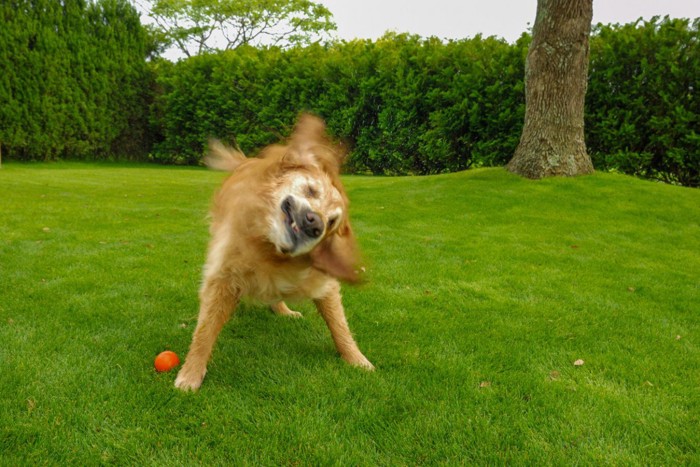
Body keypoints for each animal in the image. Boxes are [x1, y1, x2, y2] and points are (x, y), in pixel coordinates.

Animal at [174, 115, 372, 394]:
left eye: (332, 222)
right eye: (311, 191)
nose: (315, 224)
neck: (270, 250)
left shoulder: (322, 282)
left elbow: (339, 326)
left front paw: (356, 358)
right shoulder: (222, 276)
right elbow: (205, 330)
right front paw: (191, 373)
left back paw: (283, 310)